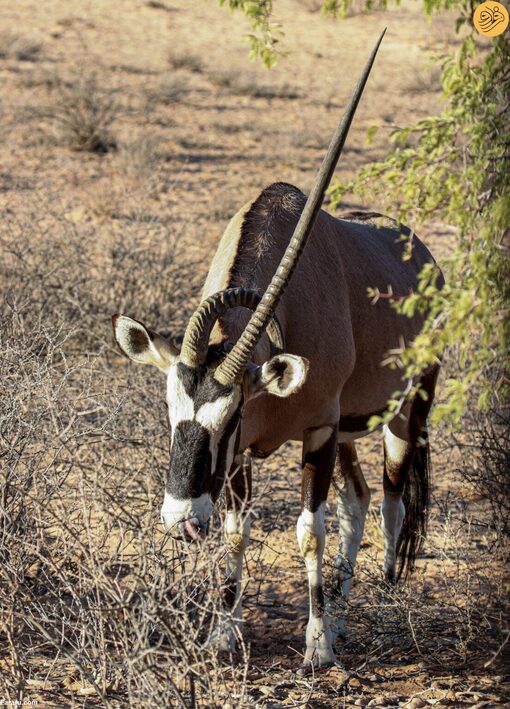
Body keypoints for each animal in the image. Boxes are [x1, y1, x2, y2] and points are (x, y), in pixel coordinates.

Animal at [110, 29, 442, 668]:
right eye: (171, 412)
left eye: (230, 415)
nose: (182, 522)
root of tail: (423, 253)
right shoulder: (251, 457)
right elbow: (239, 533)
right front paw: (223, 633)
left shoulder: (313, 431)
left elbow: (309, 531)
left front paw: (316, 647)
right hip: (349, 429)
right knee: (358, 501)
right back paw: (342, 609)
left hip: (405, 411)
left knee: (391, 502)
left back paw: (381, 601)